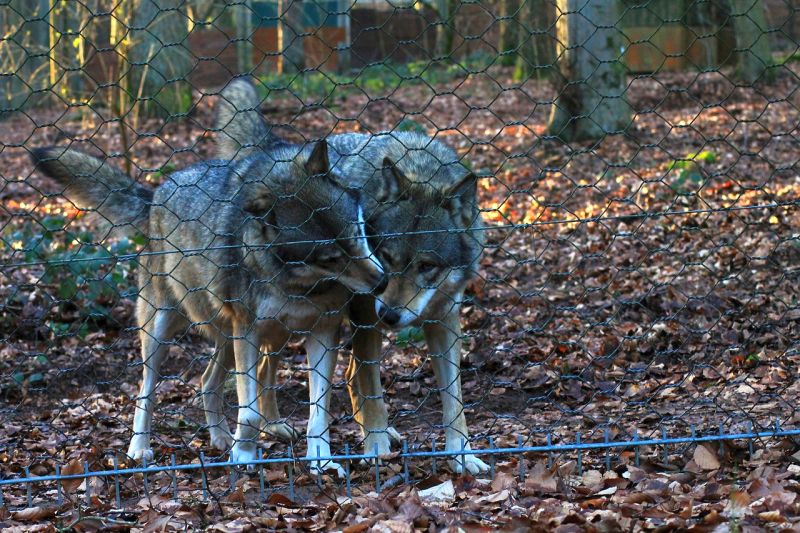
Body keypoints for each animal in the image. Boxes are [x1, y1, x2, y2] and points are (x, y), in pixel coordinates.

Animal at [32, 138, 390, 474]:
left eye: (358, 231)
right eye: (330, 258)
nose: (382, 283)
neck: (300, 287)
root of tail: (156, 194)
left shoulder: (323, 333)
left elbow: (318, 412)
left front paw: (321, 462)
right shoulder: (248, 332)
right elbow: (249, 413)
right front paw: (244, 455)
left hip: (244, 338)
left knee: (207, 382)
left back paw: (220, 438)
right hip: (164, 333)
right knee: (146, 390)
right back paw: (140, 449)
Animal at [212, 78, 488, 474]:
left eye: (426, 266)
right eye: (387, 256)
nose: (389, 314)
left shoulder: (444, 320)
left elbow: (454, 399)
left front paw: (462, 453)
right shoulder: (366, 318)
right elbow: (371, 388)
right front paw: (374, 447)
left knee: (324, 372)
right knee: (275, 368)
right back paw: (276, 427)